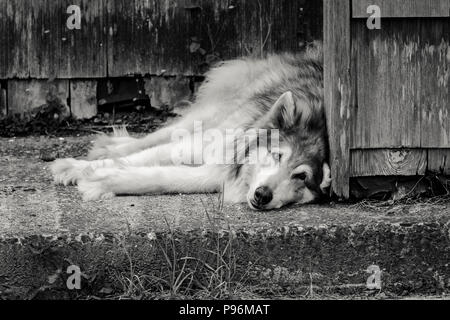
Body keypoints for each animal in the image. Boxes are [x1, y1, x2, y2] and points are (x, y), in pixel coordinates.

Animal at [51, 44, 330, 210]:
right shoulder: (208, 145)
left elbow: (158, 178)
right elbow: (143, 156)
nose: (263, 195)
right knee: (160, 135)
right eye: (277, 155)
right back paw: (111, 147)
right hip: (216, 113)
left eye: (302, 177)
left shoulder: (211, 174)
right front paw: (76, 168)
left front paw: (101, 181)